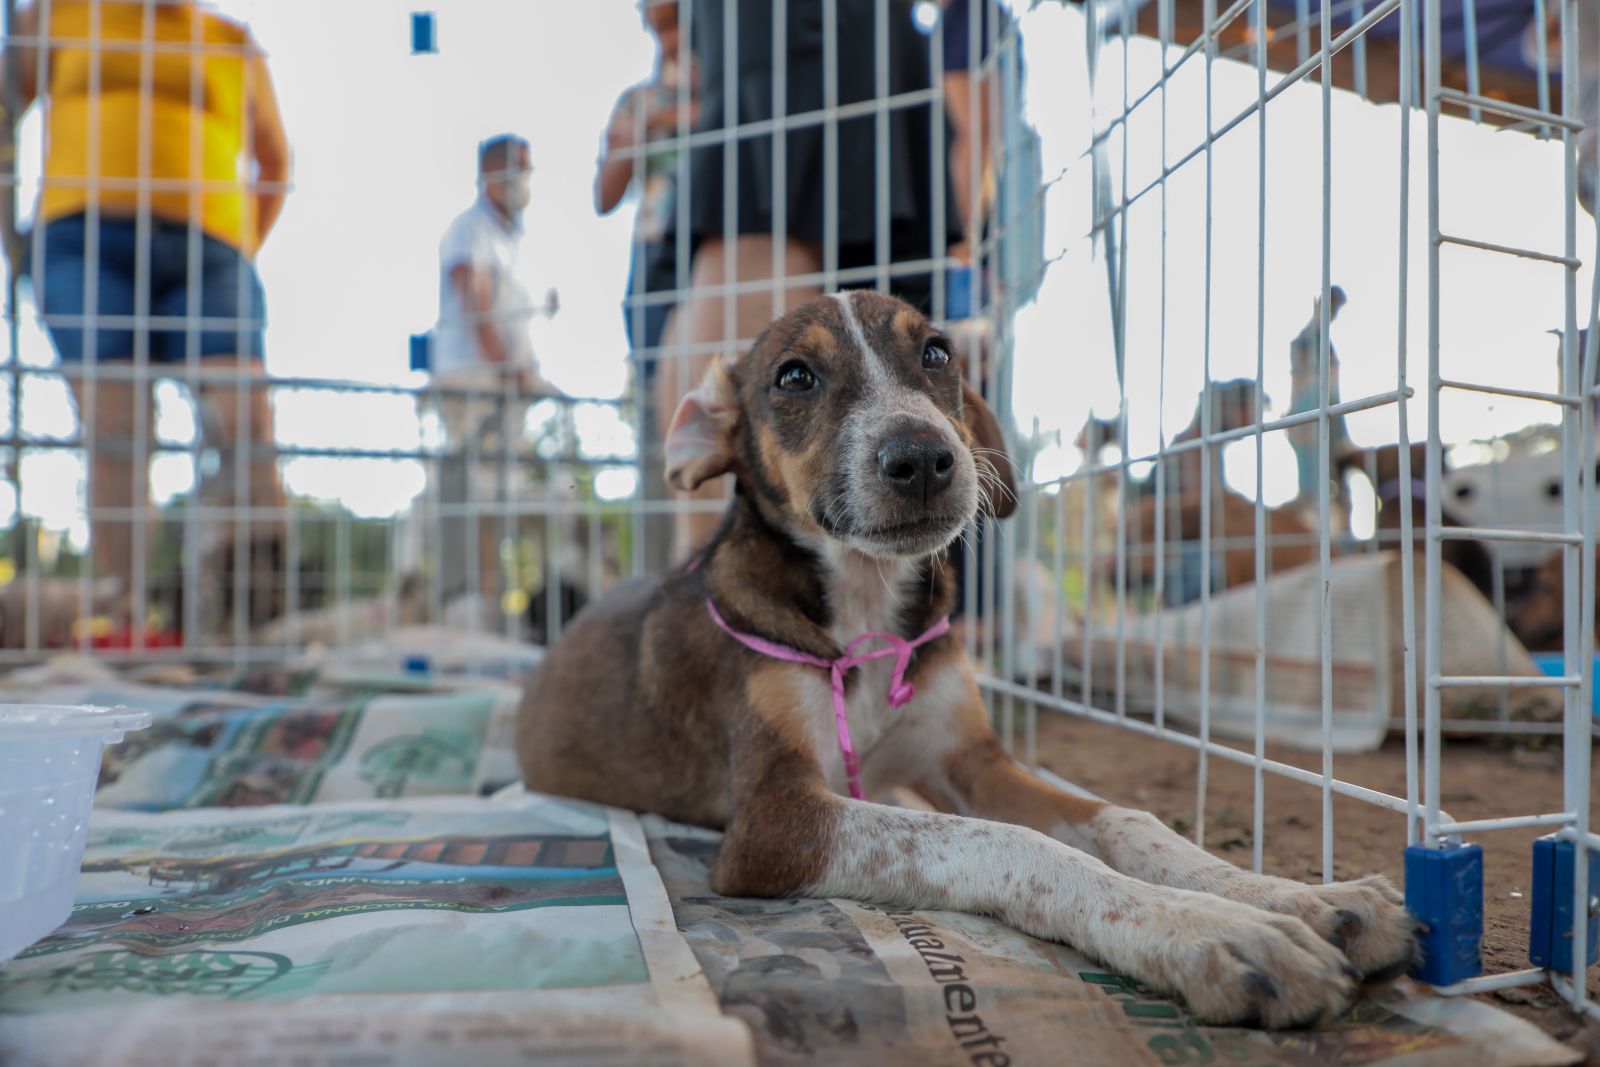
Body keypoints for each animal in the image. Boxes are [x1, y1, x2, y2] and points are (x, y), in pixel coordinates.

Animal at [518, 289, 1420, 1023]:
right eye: (794, 377)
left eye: (936, 353)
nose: (923, 457)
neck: (868, 608)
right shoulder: (772, 819)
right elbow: (1012, 843)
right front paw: (1220, 933)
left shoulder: (970, 760)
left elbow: (1124, 819)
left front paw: (1307, 898)